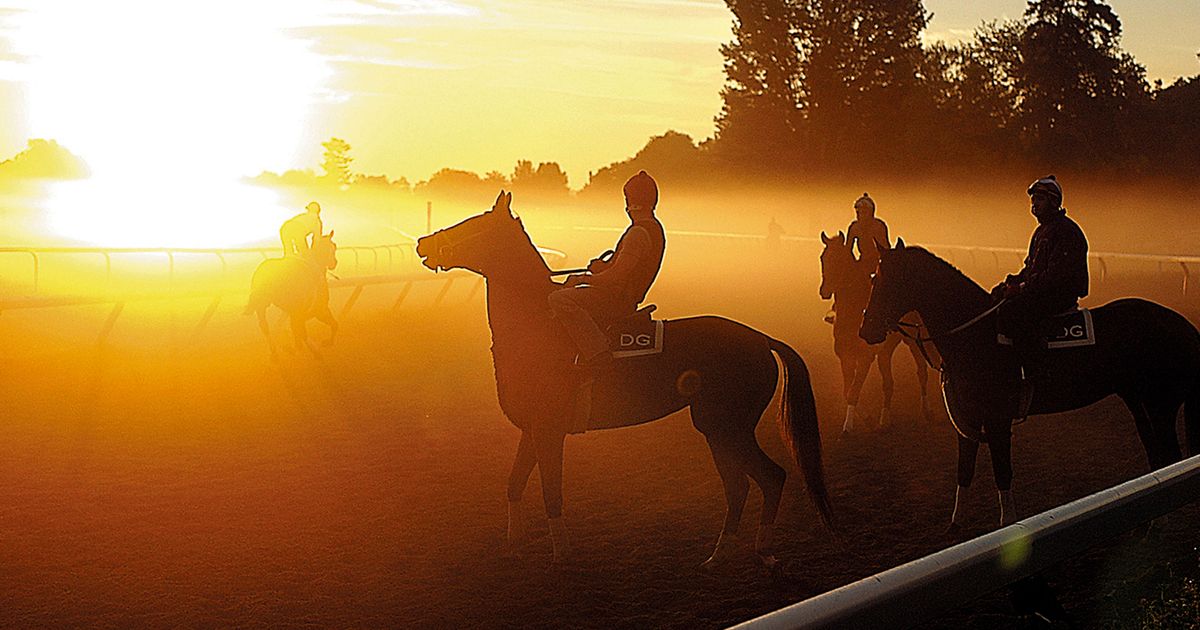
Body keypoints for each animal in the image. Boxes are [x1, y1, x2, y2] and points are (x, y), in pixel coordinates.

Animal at [243, 229, 338, 357]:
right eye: (333, 246)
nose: (334, 263)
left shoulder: (296, 314)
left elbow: (297, 333)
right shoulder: (319, 310)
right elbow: (334, 325)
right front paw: (326, 343)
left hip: (262, 306)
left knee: (265, 326)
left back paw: (275, 353)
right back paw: (312, 351)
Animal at [415, 189, 835, 566]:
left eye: (473, 224)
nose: (423, 242)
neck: (539, 329)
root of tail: (761, 338)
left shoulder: (550, 431)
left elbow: (552, 492)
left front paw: (561, 554)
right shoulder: (531, 430)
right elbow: (514, 483)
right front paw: (515, 544)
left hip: (725, 427)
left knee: (768, 477)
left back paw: (757, 550)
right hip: (719, 430)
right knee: (742, 486)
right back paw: (719, 555)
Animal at [816, 230, 936, 432]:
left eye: (840, 259)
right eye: (823, 258)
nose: (824, 291)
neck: (854, 310)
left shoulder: (865, 356)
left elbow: (854, 390)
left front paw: (848, 426)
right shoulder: (845, 355)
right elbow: (847, 389)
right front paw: (864, 418)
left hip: (913, 342)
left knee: (922, 372)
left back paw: (926, 412)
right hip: (885, 351)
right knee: (888, 382)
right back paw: (884, 419)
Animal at [864, 240, 1200, 525]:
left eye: (884, 280)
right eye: (873, 278)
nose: (866, 329)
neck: (977, 335)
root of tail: (1185, 326)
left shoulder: (997, 421)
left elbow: (1002, 473)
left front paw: (1007, 524)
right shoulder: (967, 420)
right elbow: (964, 472)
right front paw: (956, 528)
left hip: (1161, 404)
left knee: (1170, 457)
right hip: (1136, 400)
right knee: (1156, 455)